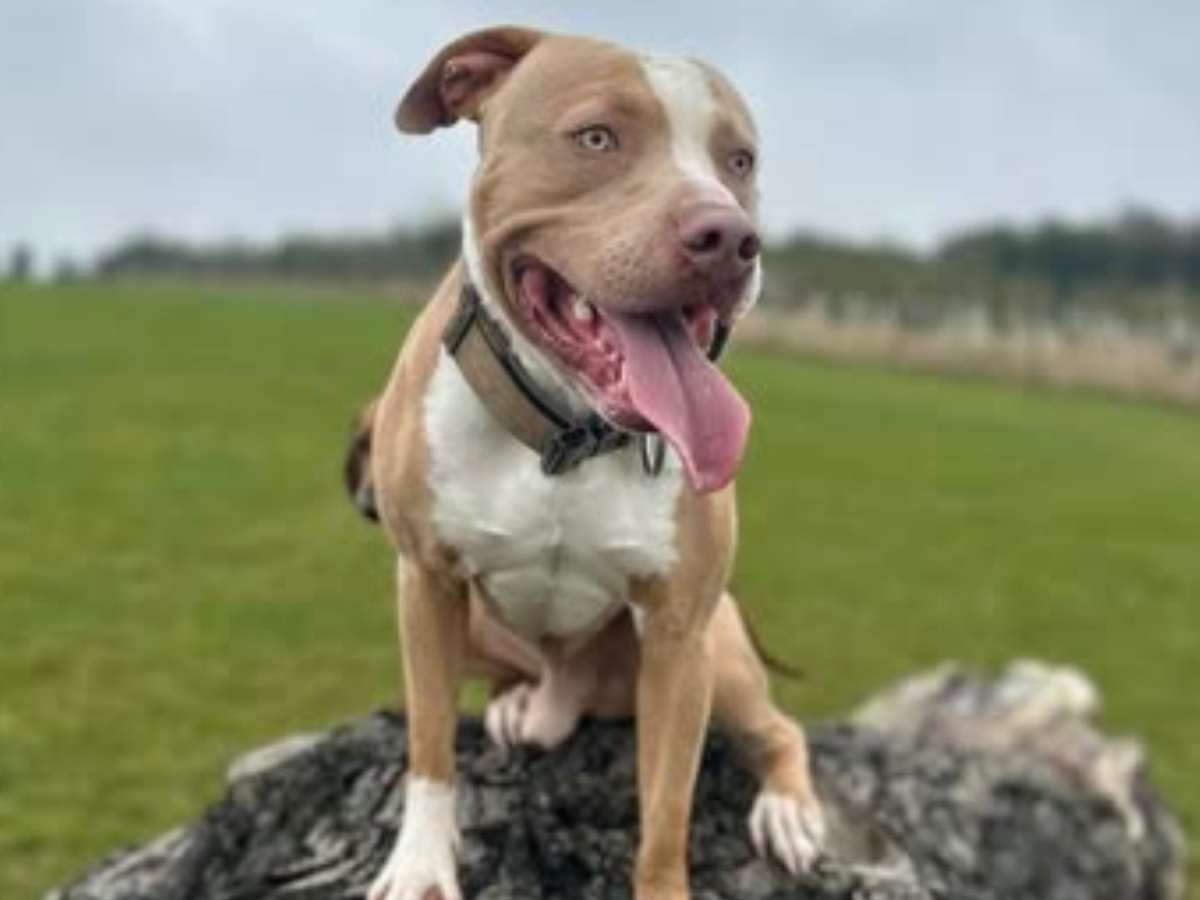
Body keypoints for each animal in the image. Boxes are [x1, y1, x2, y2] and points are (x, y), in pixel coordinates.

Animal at [365, 26, 825, 900]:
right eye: (596, 139)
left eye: (738, 160)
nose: (728, 238)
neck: (567, 436)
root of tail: (570, 698)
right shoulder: (423, 582)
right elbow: (430, 743)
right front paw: (421, 865)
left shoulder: (680, 634)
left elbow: (666, 814)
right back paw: (519, 704)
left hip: (721, 652)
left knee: (780, 728)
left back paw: (789, 810)